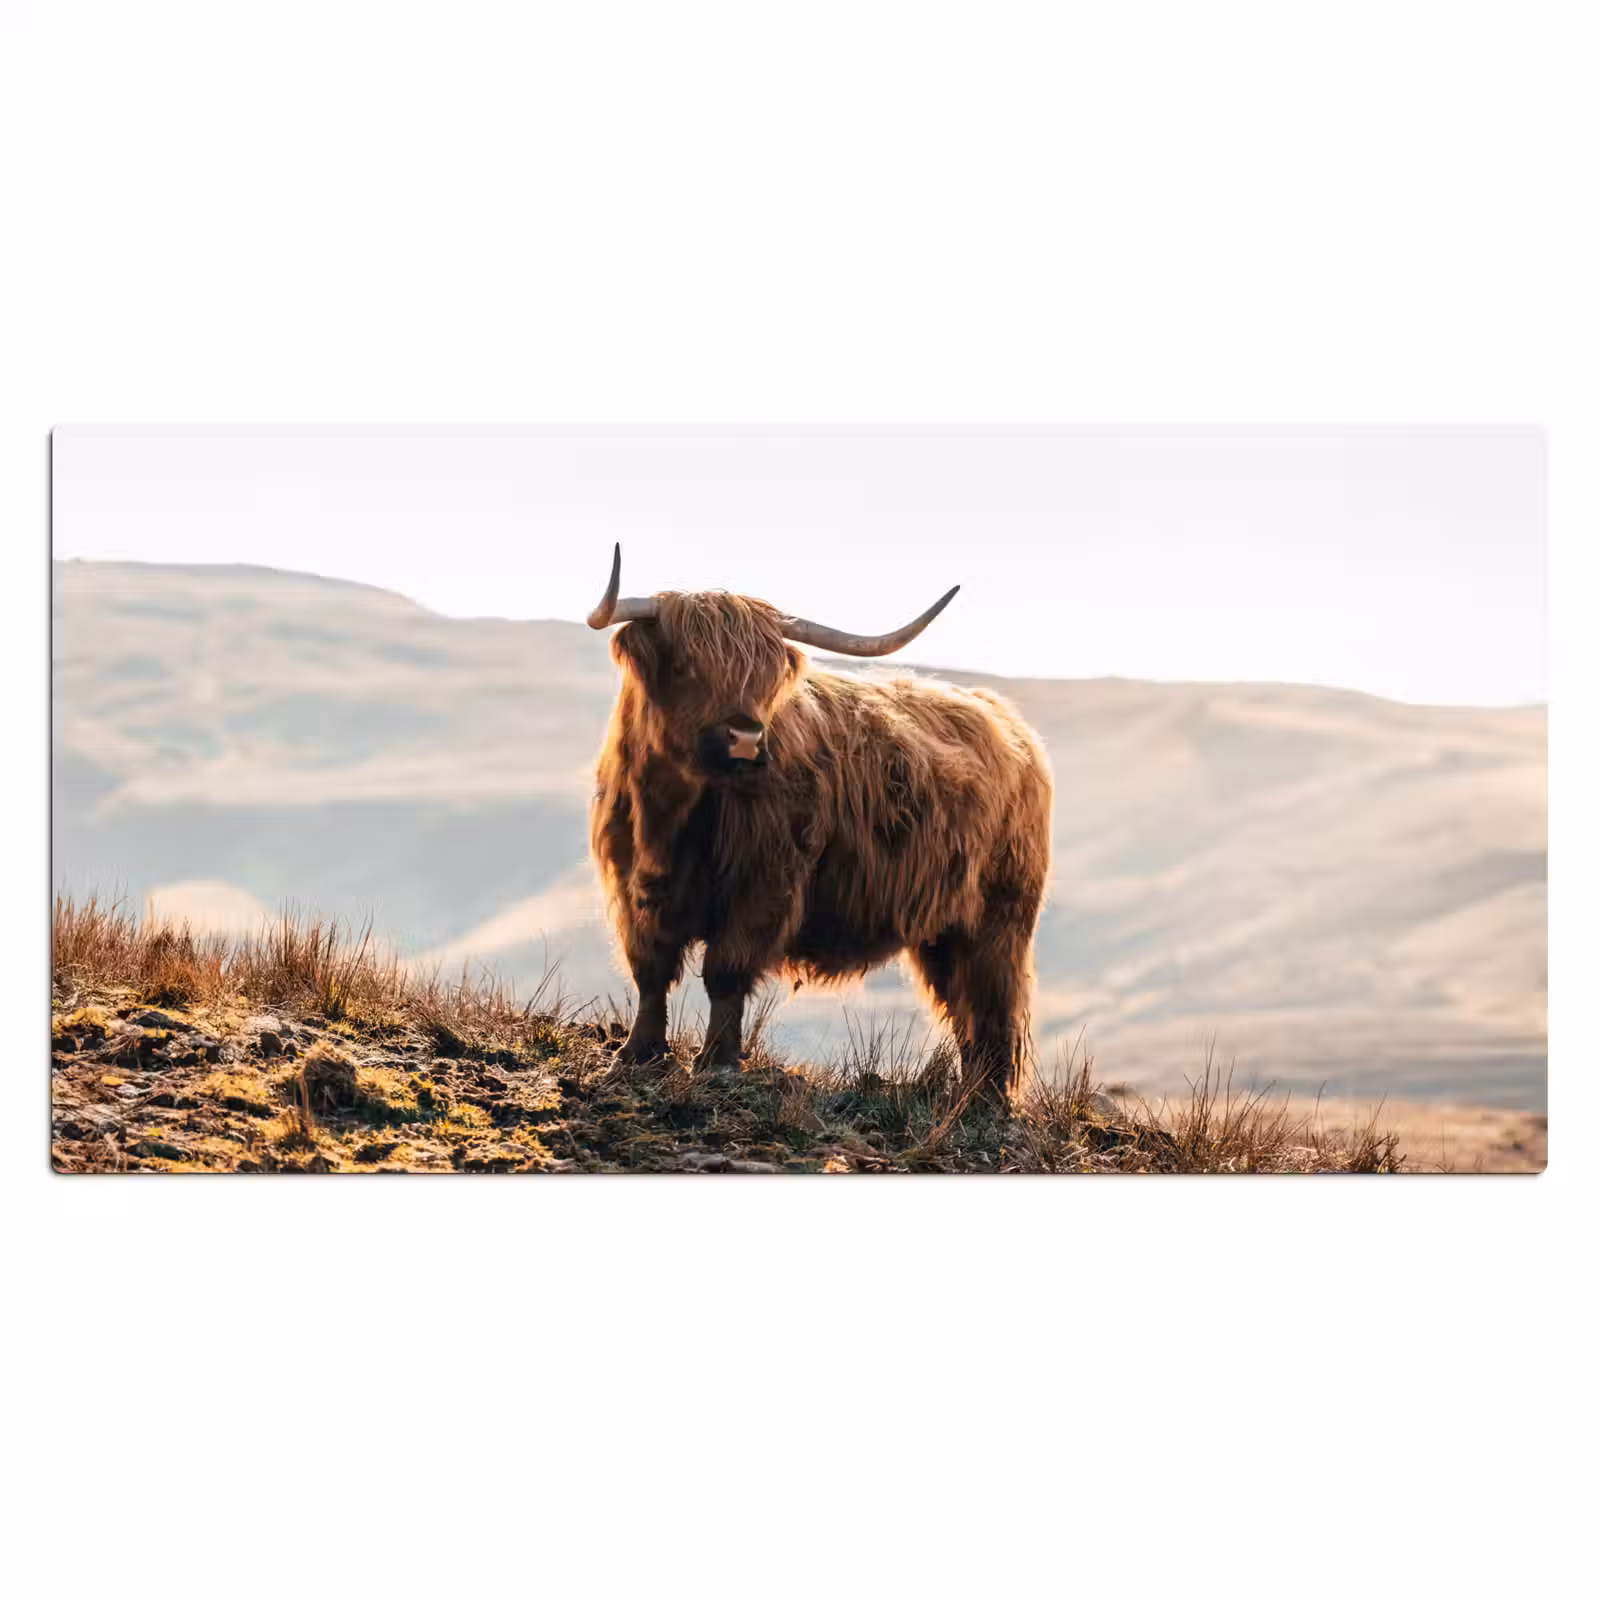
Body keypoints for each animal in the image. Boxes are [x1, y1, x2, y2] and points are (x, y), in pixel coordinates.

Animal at [586, 545, 1053, 1100]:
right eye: (684, 665)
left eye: (766, 676)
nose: (746, 738)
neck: (669, 817)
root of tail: (1005, 719)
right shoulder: (632, 886)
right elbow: (651, 971)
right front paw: (637, 1055)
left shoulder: (764, 885)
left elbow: (725, 972)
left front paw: (718, 1062)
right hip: (943, 929)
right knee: (963, 1005)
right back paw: (969, 1094)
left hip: (999, 918)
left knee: (991, 1002)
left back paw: (987, 1099)